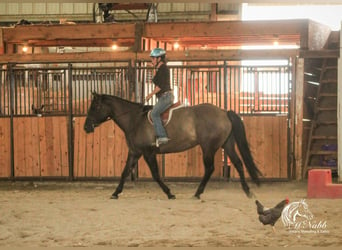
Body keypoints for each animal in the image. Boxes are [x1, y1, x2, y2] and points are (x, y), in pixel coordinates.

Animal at [84, 93, 264, 200]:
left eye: (95, 107)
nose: (86, 127)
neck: (135, 120)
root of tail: (223, 112)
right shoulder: (135, 152)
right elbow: (124, 172)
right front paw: (115, 193)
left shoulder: (148, 153)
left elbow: (156, 175)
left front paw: (169, 193)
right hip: (227, 145)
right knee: (238, 164)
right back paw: (247, 191)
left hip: (208, 147)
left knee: (210, 168)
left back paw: (198, 193)